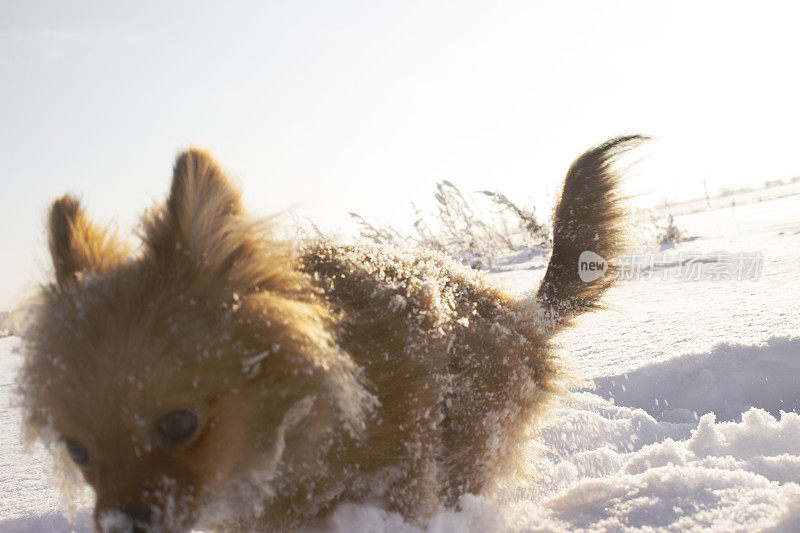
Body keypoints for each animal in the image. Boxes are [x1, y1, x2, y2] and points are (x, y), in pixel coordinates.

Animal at [18, 134, 644, 532]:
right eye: (77, 451)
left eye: (178, 424)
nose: (121, 527)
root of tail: (524, 312)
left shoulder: (402, 478)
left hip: (468, 440)